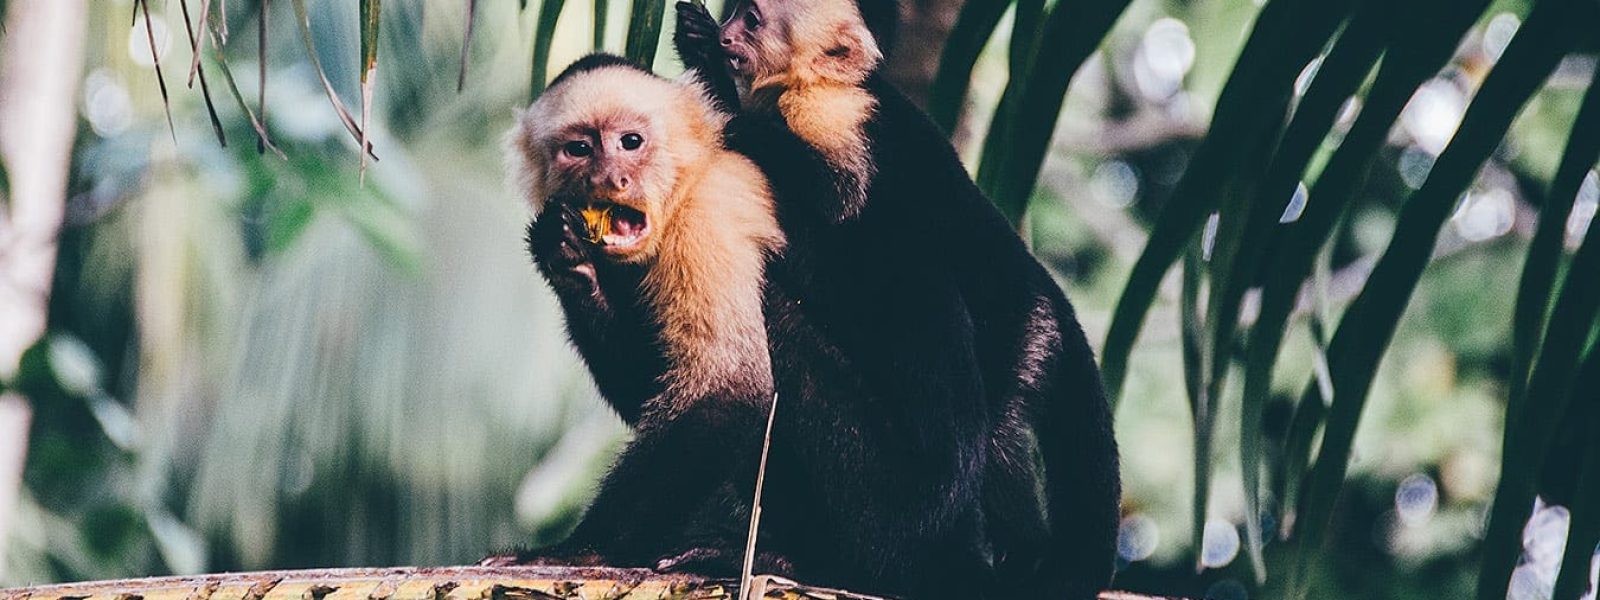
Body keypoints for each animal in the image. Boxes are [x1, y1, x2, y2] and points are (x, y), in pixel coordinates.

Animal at [668, 0, 1120, 598]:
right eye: (736, 13)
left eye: (754, 21)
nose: (726, 36)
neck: (808, 82)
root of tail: (1050, 296)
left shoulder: (834, 113)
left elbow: (835, 199)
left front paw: (720, 88)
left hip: (1022, 332)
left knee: (994, 431)